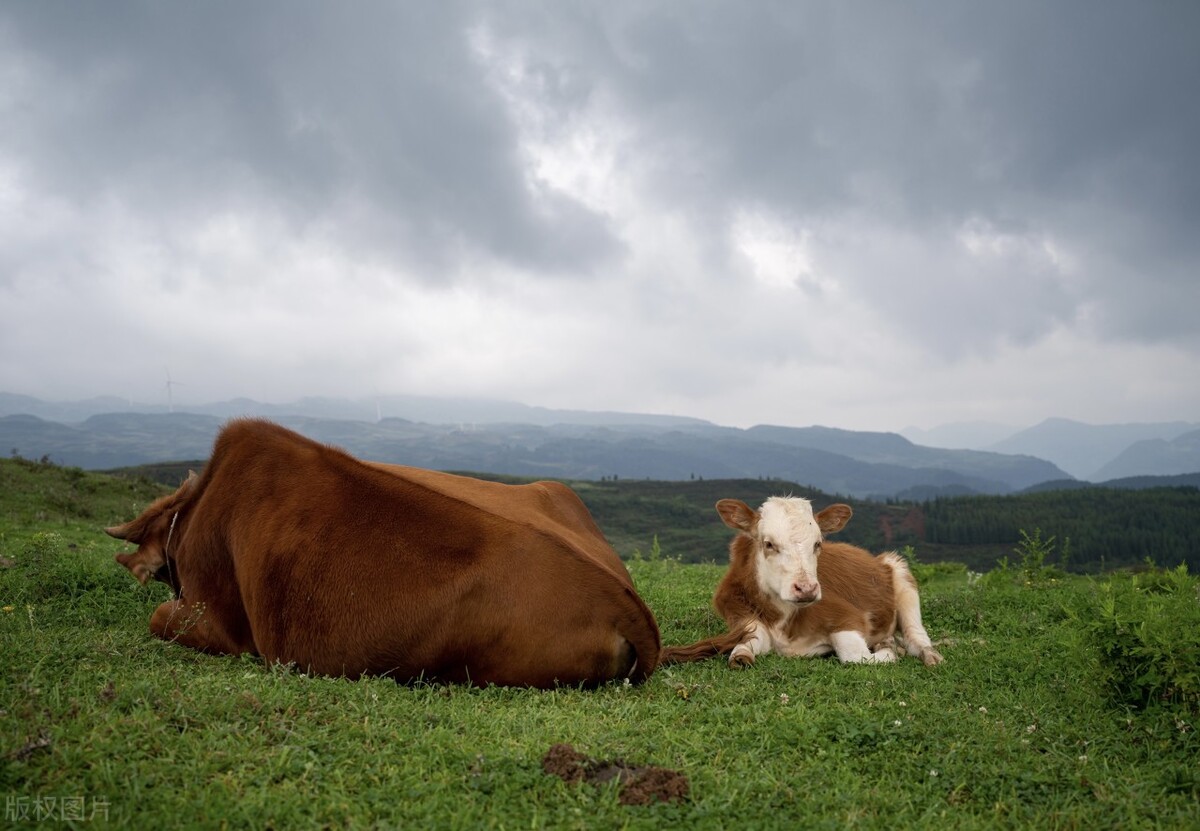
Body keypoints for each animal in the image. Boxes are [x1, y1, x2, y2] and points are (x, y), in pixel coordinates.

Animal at [662, 497, 940, 667]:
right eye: (768, 543)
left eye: (818, 543)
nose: (806, 589)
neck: (786, 622)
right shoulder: (745, 619)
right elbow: (745, 646)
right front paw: (740, 655)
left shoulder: (848, 617)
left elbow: (854, 655)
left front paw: (889, 649)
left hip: (900, 571)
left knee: (916, 635)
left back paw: (928, 655)